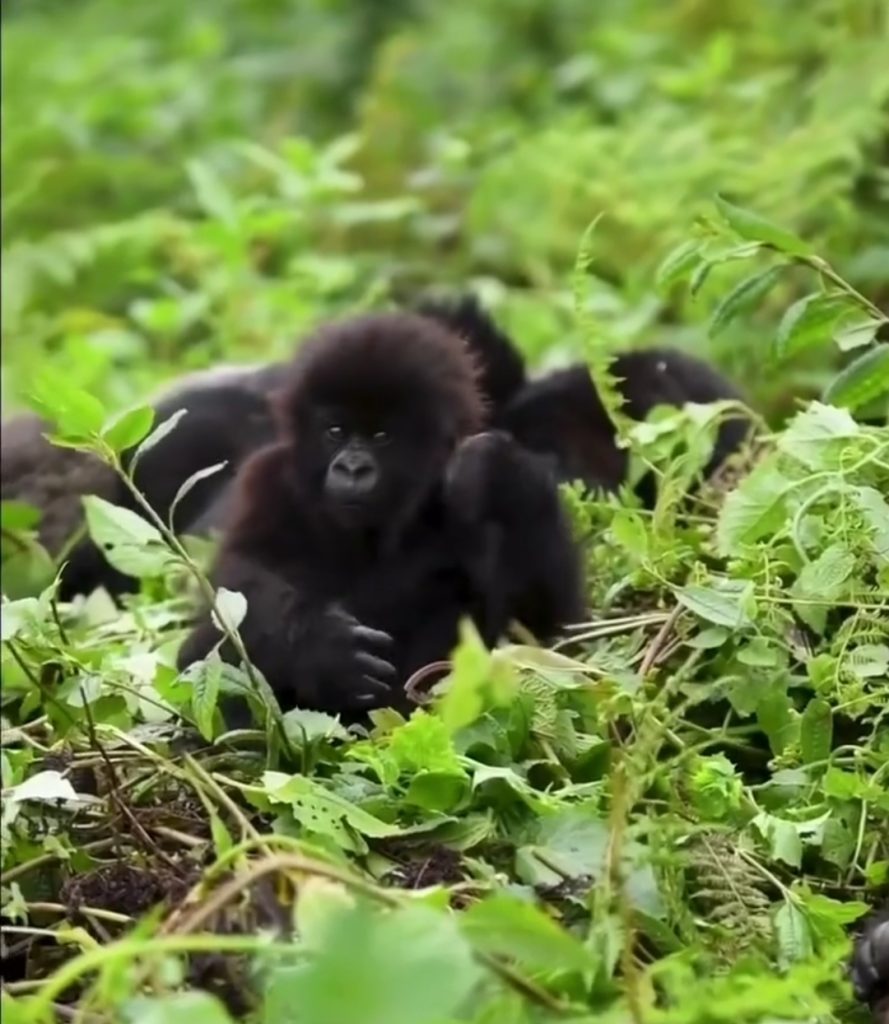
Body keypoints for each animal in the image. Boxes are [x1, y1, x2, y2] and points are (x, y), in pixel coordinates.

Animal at [176, 311, 585, 717]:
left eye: (382, 436)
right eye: (336, 431)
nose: (352, 469)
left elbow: (547, 632)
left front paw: (497, 468)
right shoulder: (266, 480)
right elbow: (234, 587)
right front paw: (321, 649)